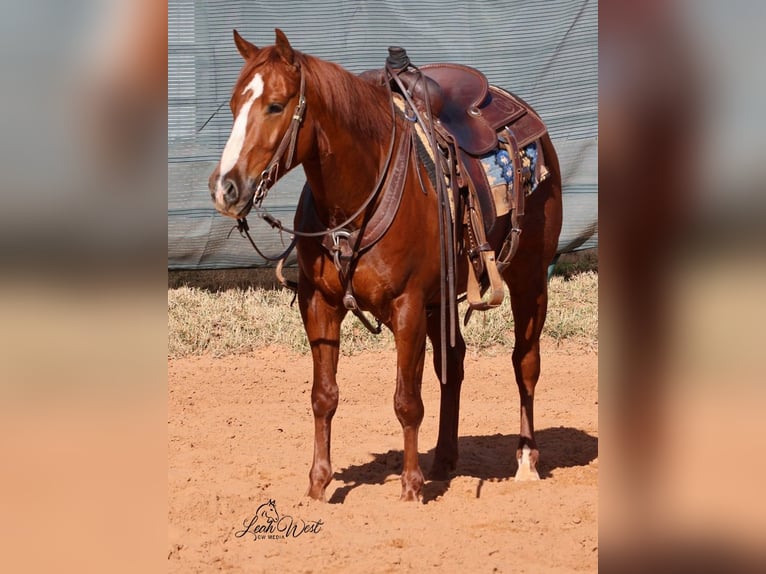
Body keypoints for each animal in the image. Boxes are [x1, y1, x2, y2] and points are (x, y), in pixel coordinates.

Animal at [208, 29, 563, 502]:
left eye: (276, 105)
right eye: (233, 105)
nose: (225, 188)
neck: (356, 198)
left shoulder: (407, 306)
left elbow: (406, 401)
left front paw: (410, 487)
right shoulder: (318, 304)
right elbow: (323, 395)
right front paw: (318, 483)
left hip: (529, 279)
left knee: (525, 363)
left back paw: (525, 459)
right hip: (442, 299)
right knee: (453, 365)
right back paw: (444, 460)